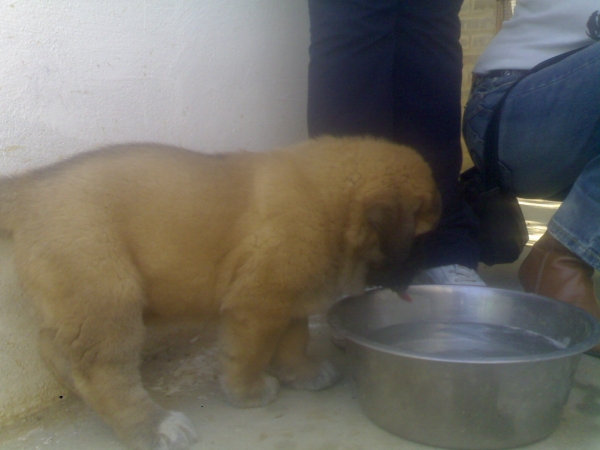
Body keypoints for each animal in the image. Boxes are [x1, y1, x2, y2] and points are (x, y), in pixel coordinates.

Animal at [0, 137, 440, 450]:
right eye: (420, 239)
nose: (419, 276)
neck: (334, 204)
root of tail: (28, 189)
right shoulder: (258, 304)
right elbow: (251, 352)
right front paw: (247, 390)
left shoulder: (289, 297)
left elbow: (293, 339)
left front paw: (301, 372)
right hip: (109, 297)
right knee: (102, 373)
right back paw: (153, 426)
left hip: (79, 303)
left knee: (55, 349)